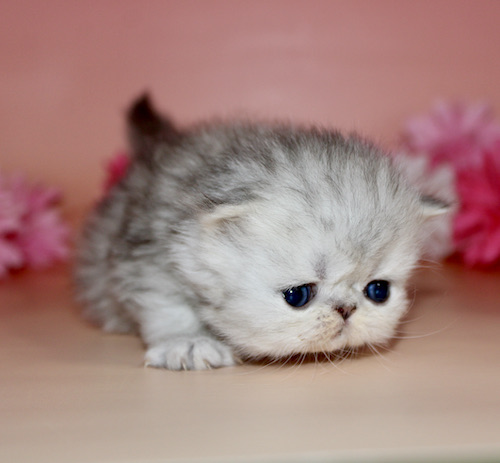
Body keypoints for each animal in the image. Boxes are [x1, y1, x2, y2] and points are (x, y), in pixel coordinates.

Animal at [75, 94, 447, 370]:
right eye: (298, 295)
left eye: (378, 291)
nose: (346, 310)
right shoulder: (147, 256)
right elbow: (168, 306)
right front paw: (188, 342)